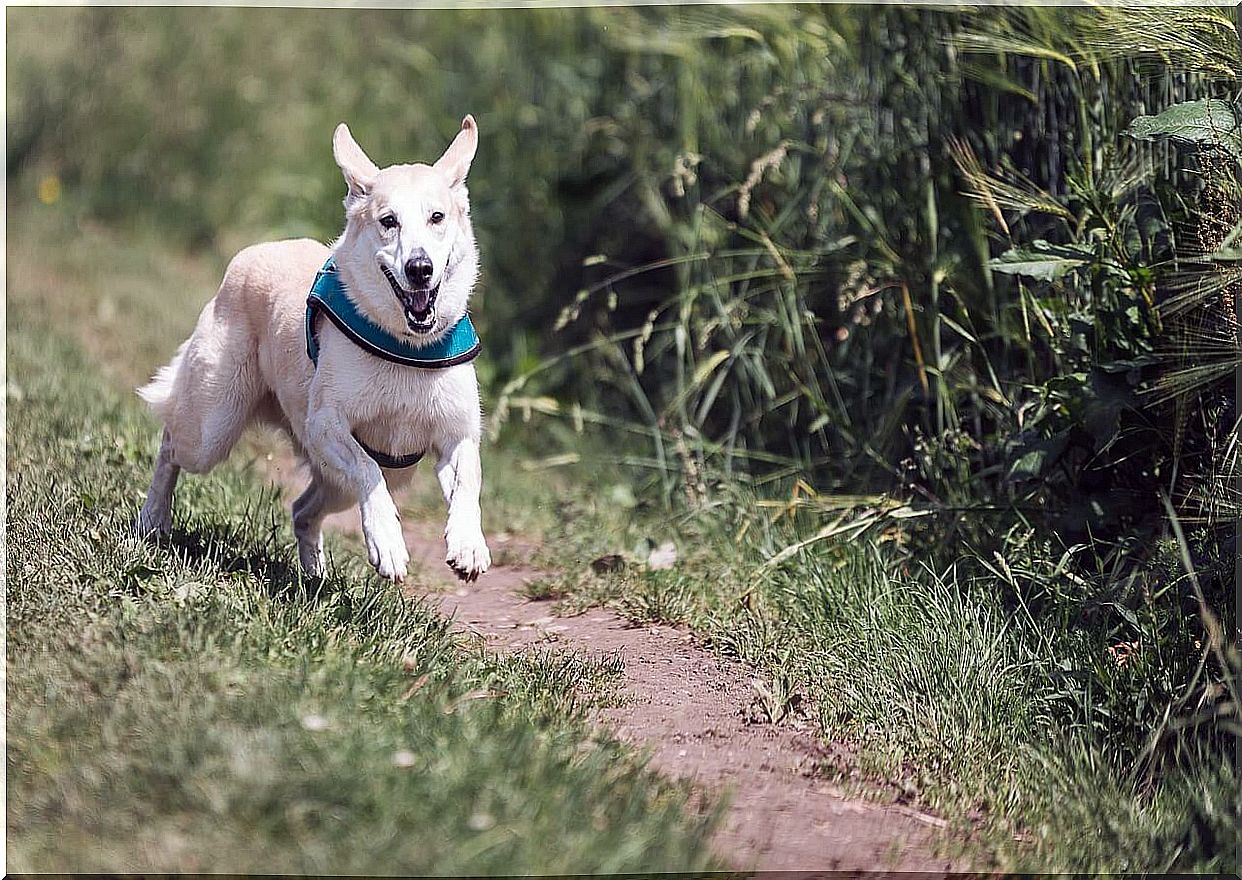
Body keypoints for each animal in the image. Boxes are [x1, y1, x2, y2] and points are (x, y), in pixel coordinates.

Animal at [132, 116, 489, 583]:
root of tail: (253, 252)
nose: (419, 268)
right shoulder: (326, 424)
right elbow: (368, 470)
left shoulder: (456, 436)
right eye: (388, 221)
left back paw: (315, 577)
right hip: (212, 428)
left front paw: (468, 544)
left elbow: (469, 483)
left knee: (303, 509)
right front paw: (388, 543)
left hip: (334, 482)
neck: (407, 347)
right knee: (172, 443)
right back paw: (153, 519)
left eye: (437, 217)